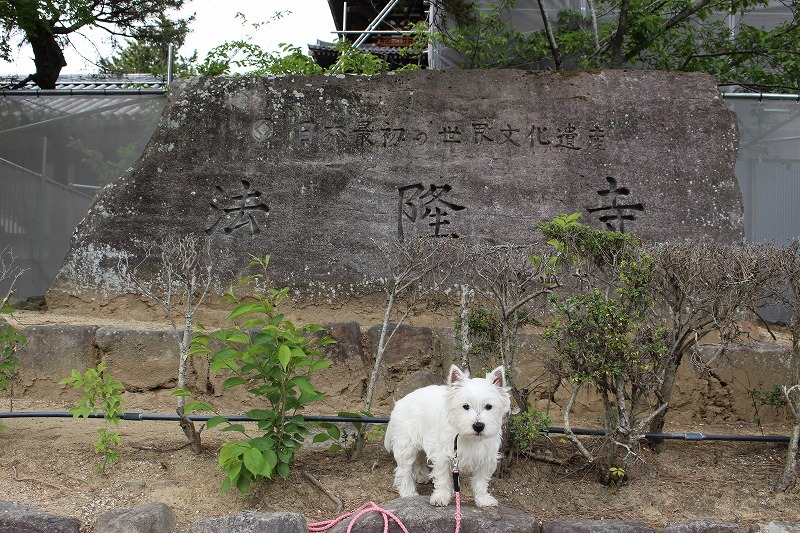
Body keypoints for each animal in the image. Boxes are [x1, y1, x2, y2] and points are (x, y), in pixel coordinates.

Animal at [382, 362, 510, 508]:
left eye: (489, 406)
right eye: (465, 406)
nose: (478, 426)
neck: (469, 437)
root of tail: (399, 403)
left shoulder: (486, 457)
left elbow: (481, 481)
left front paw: (483, 500)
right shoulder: (443, 455)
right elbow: (442, 478)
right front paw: (440, 497)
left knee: (419, 459)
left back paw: (422, 476)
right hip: (406, 445)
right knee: (404, 469)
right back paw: (408, 492)